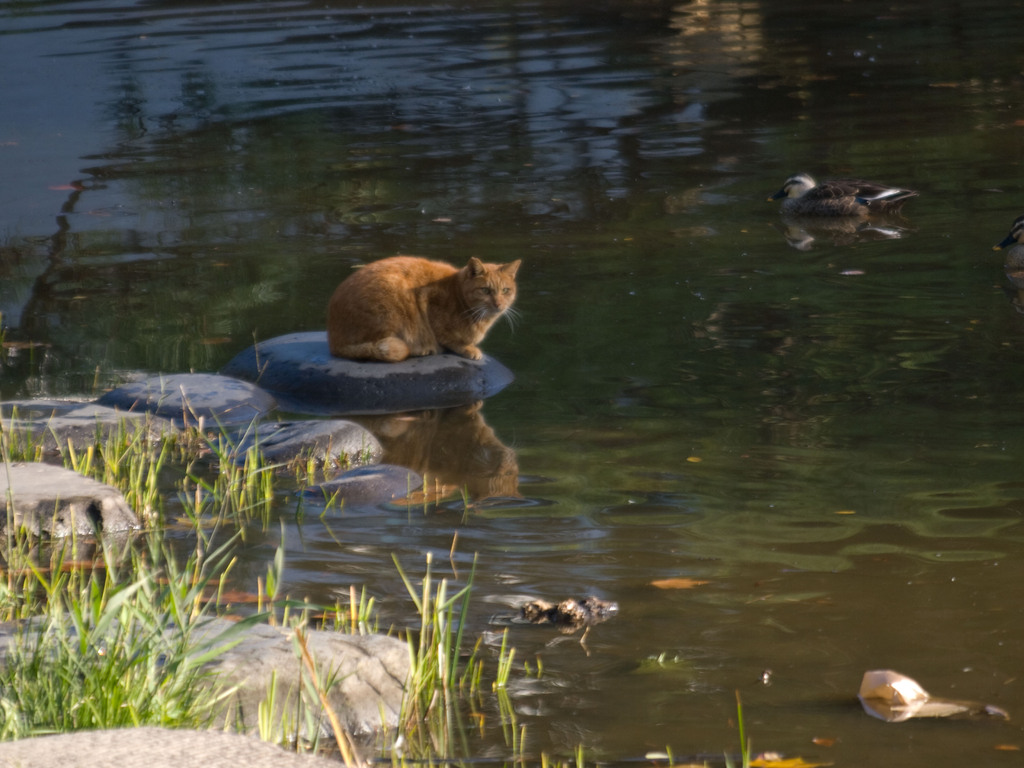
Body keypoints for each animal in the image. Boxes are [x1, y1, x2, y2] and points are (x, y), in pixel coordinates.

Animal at [325, 256, 520, 364]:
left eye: (505, 290)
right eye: (485, 290)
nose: (498, 304)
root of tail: (334, 342)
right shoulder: (429, 302)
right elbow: (449, 339)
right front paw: (469, 348)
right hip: (391, 298)